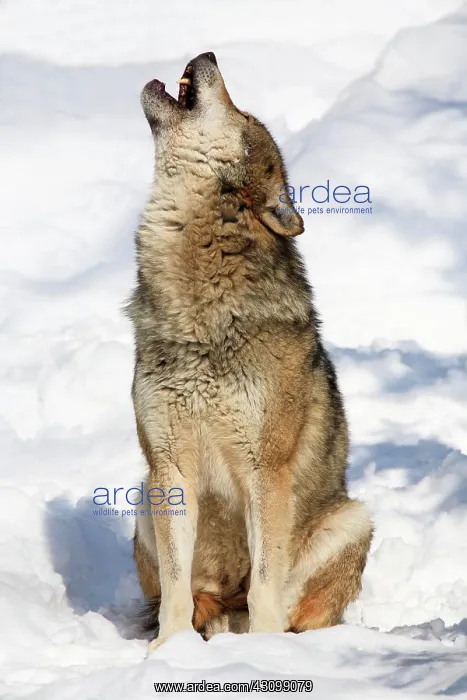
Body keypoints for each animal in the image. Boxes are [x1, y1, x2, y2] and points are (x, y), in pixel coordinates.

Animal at [126, 52, 373, 650]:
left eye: (244, 115)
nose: (208, 55)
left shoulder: (266, 470)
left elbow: (265, 583)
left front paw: (264, 655)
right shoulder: (168, 466)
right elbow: (175, 588)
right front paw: (167, 652)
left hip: (354, 518)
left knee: (290, 609)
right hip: (142, 497)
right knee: (198, 601)